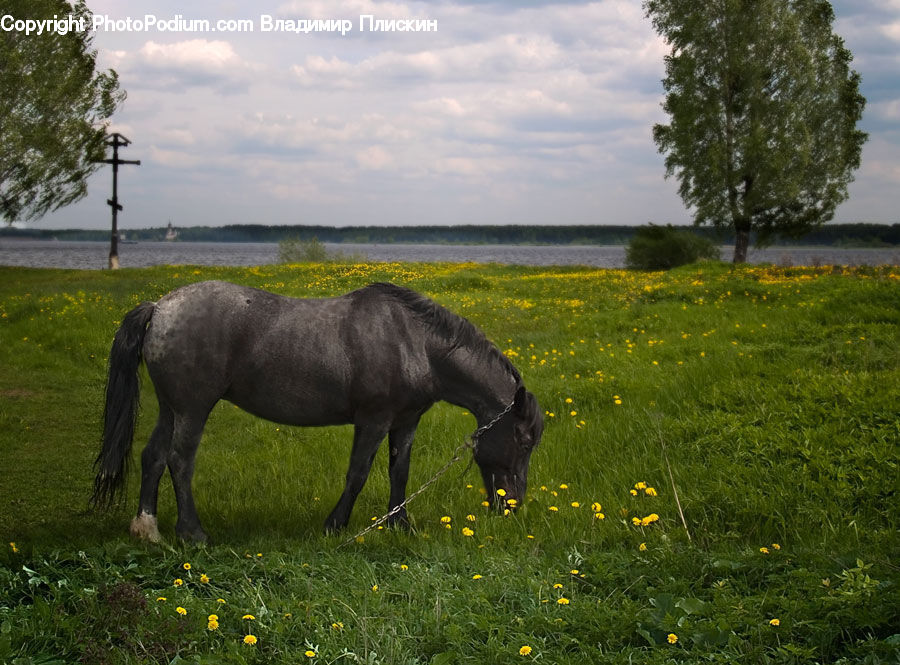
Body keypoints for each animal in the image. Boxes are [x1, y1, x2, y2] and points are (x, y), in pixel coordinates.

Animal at [91, 280, 543, 542]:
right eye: (522, 440)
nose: (511, 506)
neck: (415, 343)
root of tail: (160, 307)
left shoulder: (405, 421)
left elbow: (399, 472)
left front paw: (400, 524)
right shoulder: (373, 420)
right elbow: (358, 473)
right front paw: (335, 525)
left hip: (171, 408)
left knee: (152, 456)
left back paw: (147, 528)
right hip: (193, 408)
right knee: (179, 461)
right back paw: (192, 533)